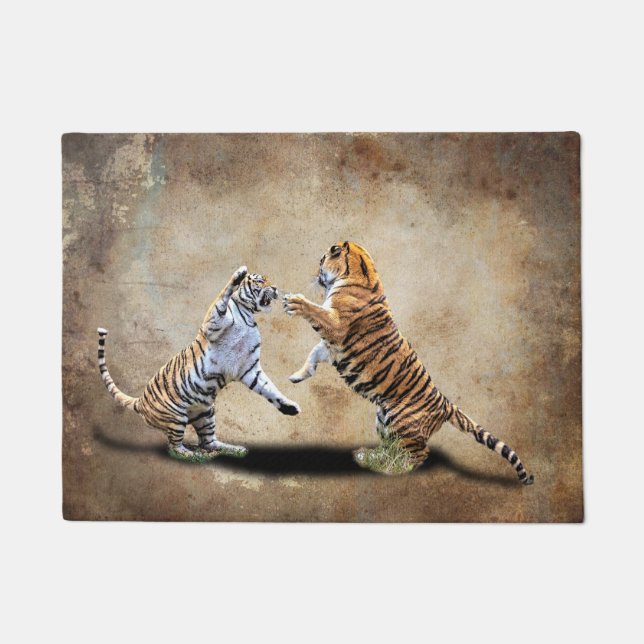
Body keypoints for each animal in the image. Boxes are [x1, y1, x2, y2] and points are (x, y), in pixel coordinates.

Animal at [98, 266, 300, 460]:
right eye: (260, 281)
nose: (275, 288)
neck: (248, 315)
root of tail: (141, 401)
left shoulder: (248, 368)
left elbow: (269, 388)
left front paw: (290, 407)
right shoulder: (213, 323)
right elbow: (222, 295)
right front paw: (239, 273)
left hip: (206, 413)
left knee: (209, 442)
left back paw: (234, 449)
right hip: (176, 417)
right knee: (174, 445)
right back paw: (189, 453)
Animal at [283, 242, 534, 484]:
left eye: (322, 261)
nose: (316, 274)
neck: (358, 273)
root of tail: (445, 403)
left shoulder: (335, 326)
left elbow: (315, 312)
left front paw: (294, 302)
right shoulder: (331, 347)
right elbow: (313, 354)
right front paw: (297, 376)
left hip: (403, 423)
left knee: (418, 453)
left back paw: (396, 469)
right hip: (383, 419)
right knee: (390, 447)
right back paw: (368, 456)